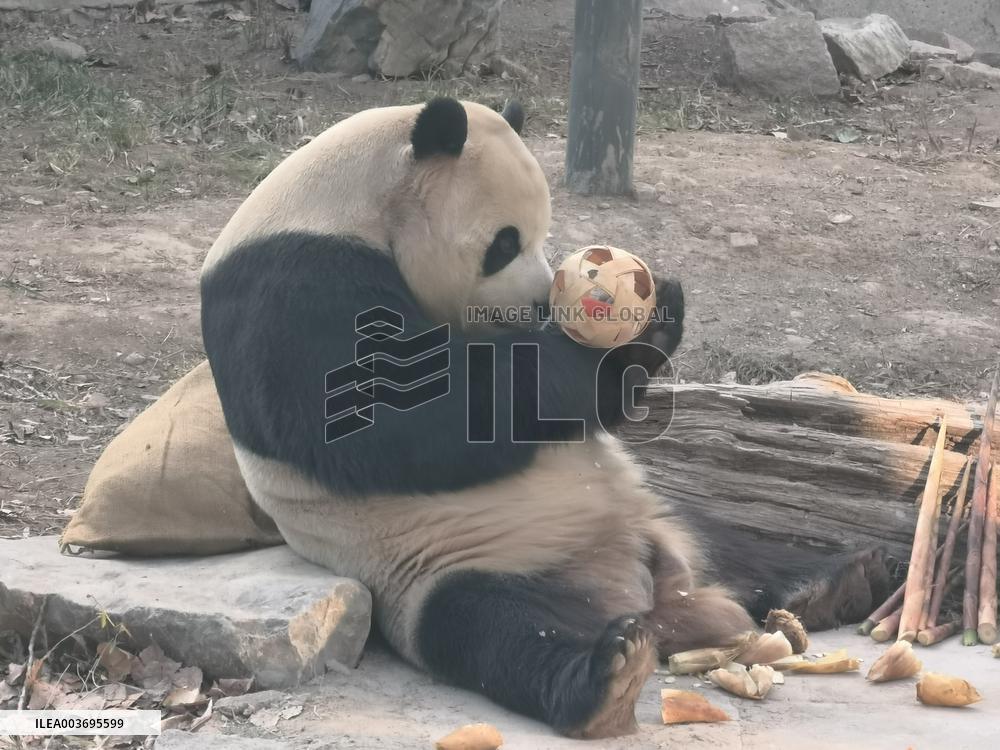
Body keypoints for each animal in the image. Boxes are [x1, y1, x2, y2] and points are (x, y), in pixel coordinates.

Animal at [200, 98, 890, 739]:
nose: (540, 303)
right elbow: (404, 420)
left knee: (735, 545)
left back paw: (838, 580)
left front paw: (657, 307)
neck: (344, 206)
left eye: (544, 234)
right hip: (441, 566)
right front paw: (627, 347)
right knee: (496, 632)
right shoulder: (295, 291)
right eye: (504, 242)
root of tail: (655, 602)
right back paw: (605, 677)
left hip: (660, 514)